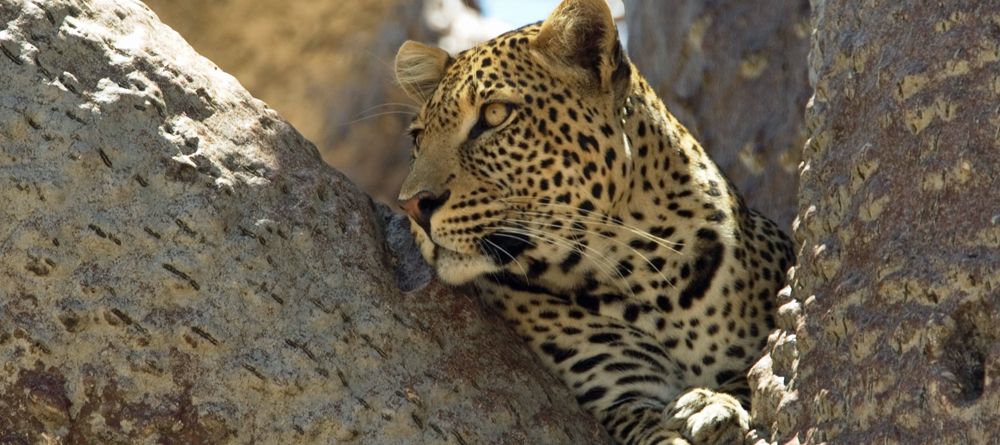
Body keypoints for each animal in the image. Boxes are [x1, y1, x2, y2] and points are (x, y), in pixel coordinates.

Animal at [393, 0, 794, 443]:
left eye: (495, 115)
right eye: (417, 139)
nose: (412, 205)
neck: (649, 274)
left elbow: (749, 376)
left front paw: (710, 403)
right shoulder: (622, 395)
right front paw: (704, 406)